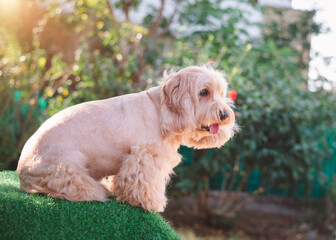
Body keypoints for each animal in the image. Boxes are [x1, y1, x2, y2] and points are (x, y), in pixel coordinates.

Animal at [15, 65, 236, 212]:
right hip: (72, 174)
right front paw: (151, 204)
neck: (161, 109)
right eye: (204, 92)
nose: (225, 114)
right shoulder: (146, 158)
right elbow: (145, 184)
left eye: (220, 92)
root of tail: (21, 171)